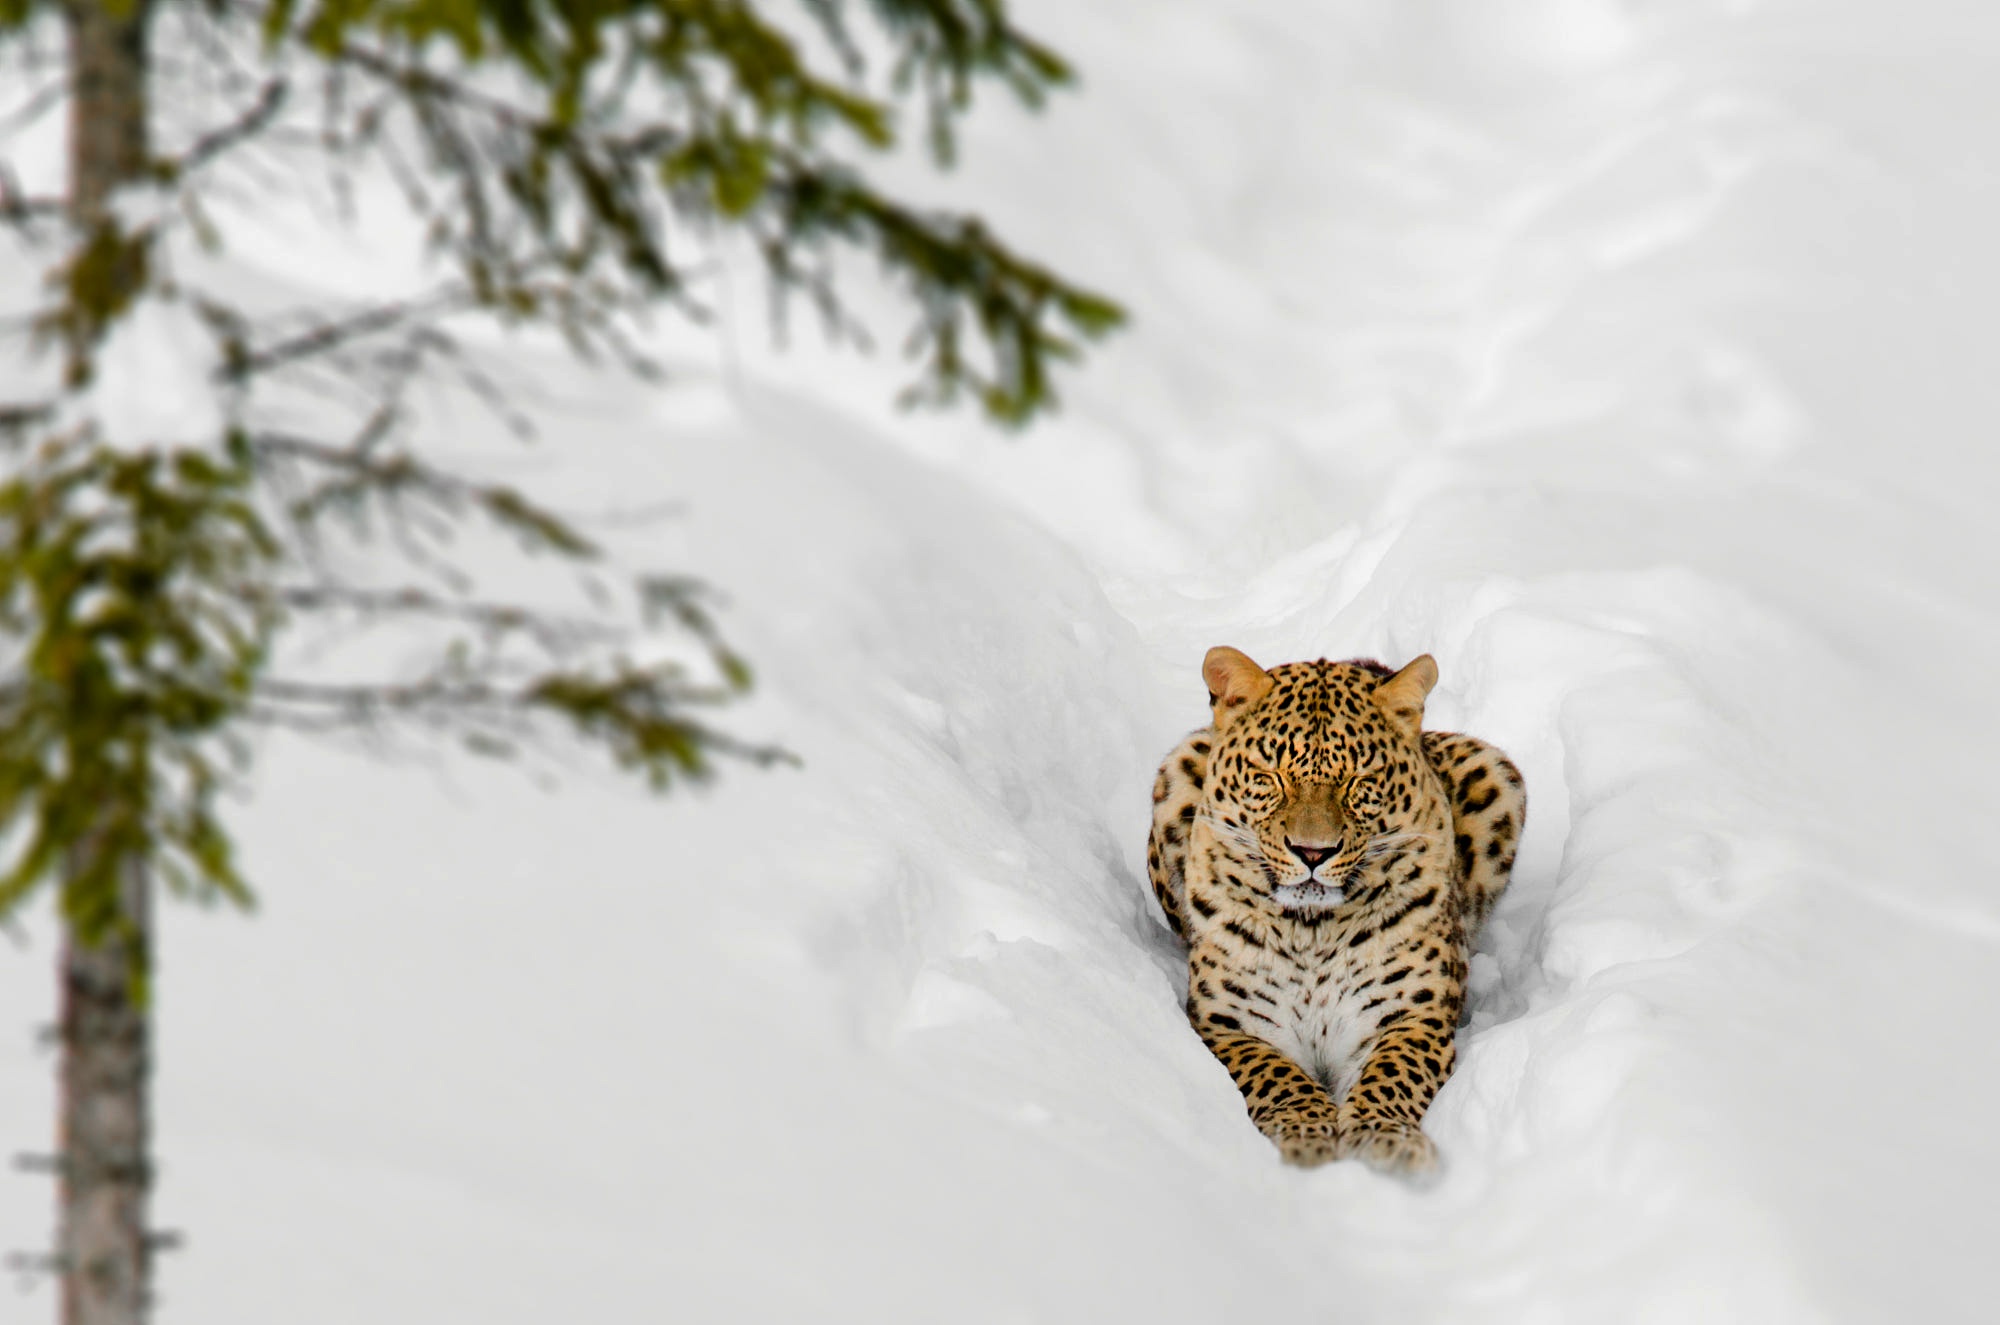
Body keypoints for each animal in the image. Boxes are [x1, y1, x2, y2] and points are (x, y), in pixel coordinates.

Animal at [1146, 646, 1525, 1175]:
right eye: (1271, 778)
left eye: (1359, 783)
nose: (1312, 852)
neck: (1311, 933)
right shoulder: (1228, 1026)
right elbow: (1273, 1073)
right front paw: (1306, 1130)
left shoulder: (1410, 1018)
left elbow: (1393, 1073)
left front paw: (1385, 1137)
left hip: (1494, 770)